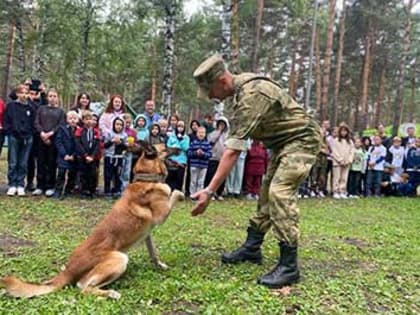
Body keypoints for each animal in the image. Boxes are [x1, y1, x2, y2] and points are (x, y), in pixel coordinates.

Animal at [0, 143, 184, 298]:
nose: (181, 148)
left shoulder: (147, 233)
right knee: (83, 286)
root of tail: (68, 271)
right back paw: (110, 293)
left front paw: (160, 265)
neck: (147, 178)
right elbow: (175, 192)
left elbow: (153, 252)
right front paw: (182, 195)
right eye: (166, 146)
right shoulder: (161, 215)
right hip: (119, 258)